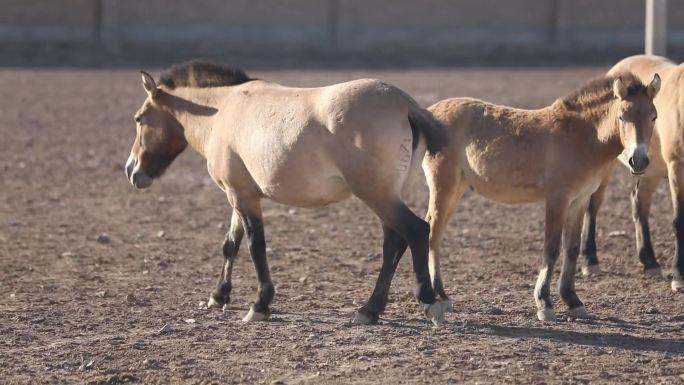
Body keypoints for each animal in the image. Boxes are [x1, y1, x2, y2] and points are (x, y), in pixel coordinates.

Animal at [123, 60, 448, 324]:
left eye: (139, 118)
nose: (131, 170)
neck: (222, 110)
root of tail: (407, 106)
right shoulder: (239, 194)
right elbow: (231, 244)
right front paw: (218, 296)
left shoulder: (242, 197)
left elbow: (255, 246)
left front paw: (260, 305)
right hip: (386, 197)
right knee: (394, 242)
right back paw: (370, 310)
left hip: (378, 196)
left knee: (415, 231)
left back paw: (426, 302)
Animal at [422, 72, 656, 320]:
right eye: (622, 117)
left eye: (654, 117)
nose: (638, 161)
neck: (582, 135)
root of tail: (429, 112)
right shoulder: (557, 199)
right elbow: (551, 248)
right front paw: (544, 303)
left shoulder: (579, 200)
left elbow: (571, 248)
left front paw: (573, 301)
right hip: (444, 188)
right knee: (432, 233)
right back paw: (439, 297)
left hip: (455, 191)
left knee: (435, 234)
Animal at [580, 54, 684, 292]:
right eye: (621, 118)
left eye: (655, 117)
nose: (637, 160)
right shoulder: (676, 168)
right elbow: (679, 221)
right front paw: (679, 277)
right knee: (593, 204)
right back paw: (591, 261)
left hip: (650, 170)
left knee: (639, 203)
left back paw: (650, 262)